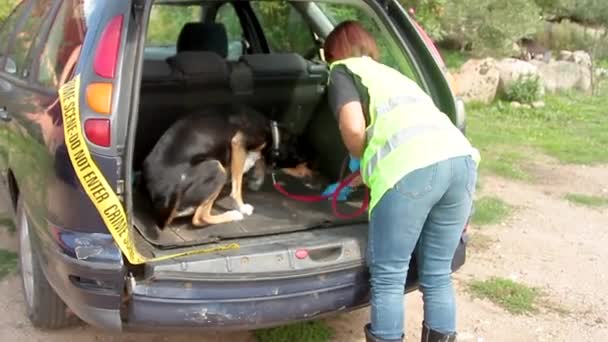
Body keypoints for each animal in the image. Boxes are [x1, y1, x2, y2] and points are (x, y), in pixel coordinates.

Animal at [143, 103, 314, 228]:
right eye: (304, 162)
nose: (313, 175)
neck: (274, 134)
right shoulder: (238, 143)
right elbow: (237, 188)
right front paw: (242, 207)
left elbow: (257, 162)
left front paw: (256, 179)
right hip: (216, 168)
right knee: (200, 218)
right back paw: (233, 215)